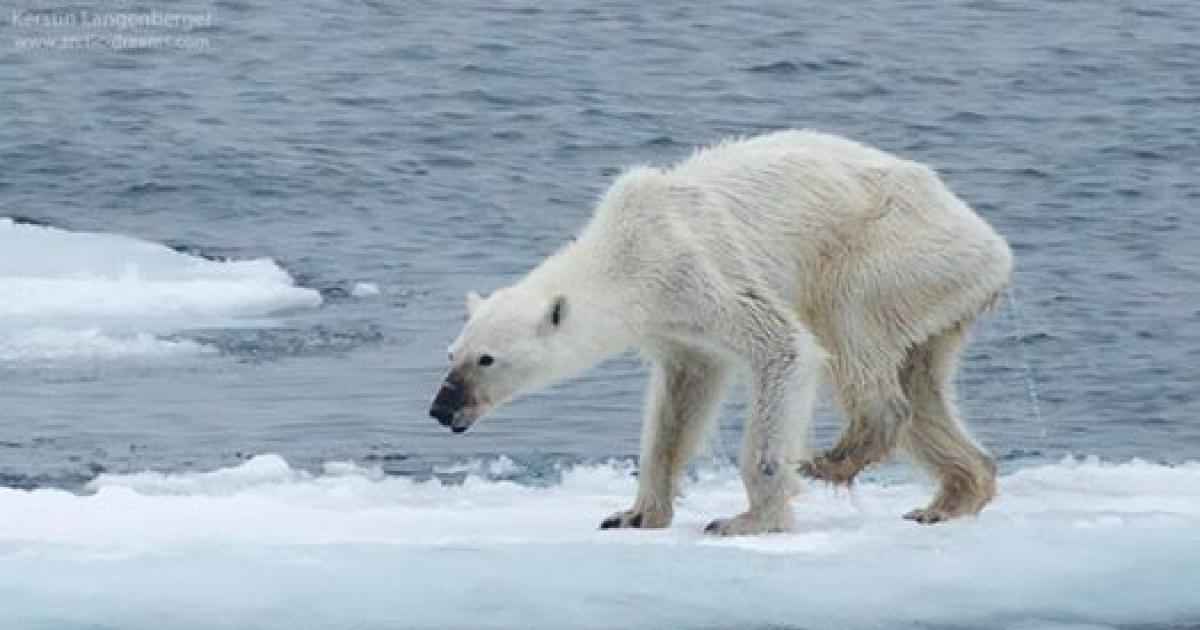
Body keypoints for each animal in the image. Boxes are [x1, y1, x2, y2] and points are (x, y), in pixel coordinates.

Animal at [432, 130, 1012, 532]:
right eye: (451, 353)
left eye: (486, 359)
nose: (441, 408)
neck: (625, 250)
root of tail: (993, 246)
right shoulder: (673, 325)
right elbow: (680, 400)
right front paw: (634, 514)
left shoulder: (695, 270)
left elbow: (784, 347)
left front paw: (747, 520)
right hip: (940, 295)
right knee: (923, 383)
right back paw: (950, 497)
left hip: (893, 251)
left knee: (848, 324)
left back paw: (835, 457)